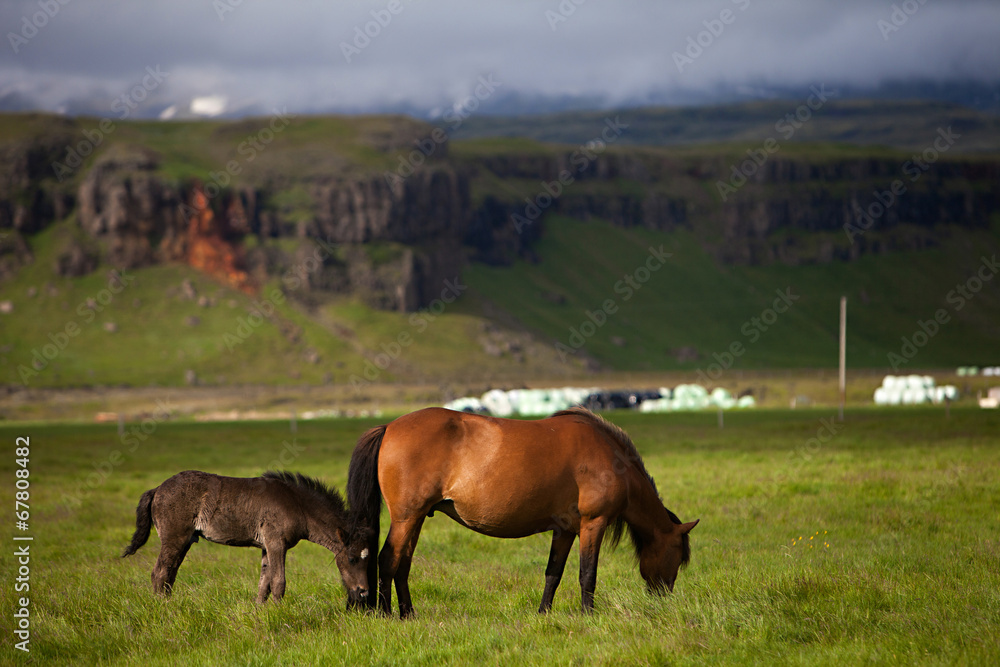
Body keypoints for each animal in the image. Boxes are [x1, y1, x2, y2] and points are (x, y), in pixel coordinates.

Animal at [122, 470, 372, 605]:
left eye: (368, 559)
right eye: (352, 559)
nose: (363, 591)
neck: (298, 505)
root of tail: (157, 489)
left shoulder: (266, 546)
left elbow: (264, 583)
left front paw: (260, 611)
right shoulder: (276, 543)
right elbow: (278, 582)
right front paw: (279, 613)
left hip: (184, 541)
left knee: (169, 574)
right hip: (174, 538)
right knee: (160, 573)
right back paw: (161, 607)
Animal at [347, 407, 697, 617]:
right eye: (678, 555)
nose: (664, 598)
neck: (612, 459)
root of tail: (390, 426)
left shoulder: (565, 530)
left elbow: (553, 572)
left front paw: (544, 613)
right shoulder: (592, 524)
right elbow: (587, 573)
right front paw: (588, 615)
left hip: (416, 518)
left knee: (402, 564)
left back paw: (408, 613)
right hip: (406, 517)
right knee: (388, 560)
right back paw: (388, 614)